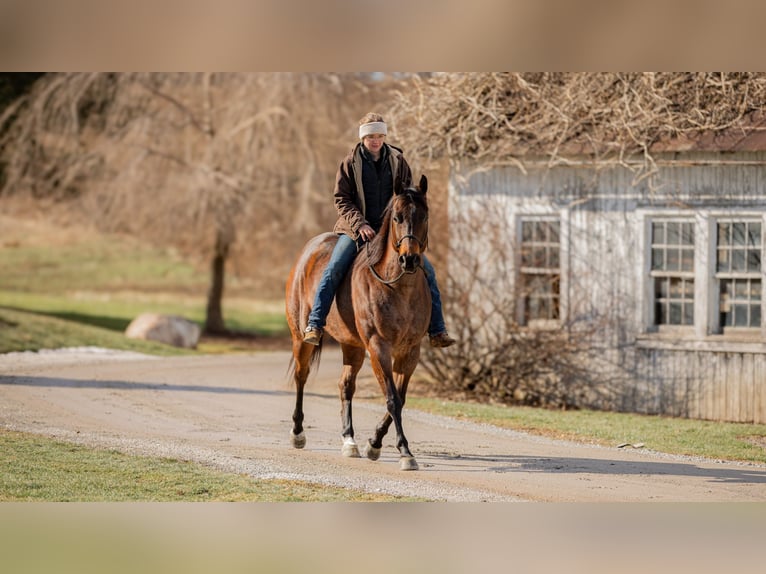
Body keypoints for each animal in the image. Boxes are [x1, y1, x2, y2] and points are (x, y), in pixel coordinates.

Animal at [286, 176, 436, 472]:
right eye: (397, 217)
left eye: (424, 216)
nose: (409, 259)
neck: (399, 288)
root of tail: (308, 250)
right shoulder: (378, 347)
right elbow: (391, 398)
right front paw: (404, 452)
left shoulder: (410, 351)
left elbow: (400, 398)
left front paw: (374, 443)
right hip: (301, 338)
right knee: (301, 375)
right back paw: (298, 433)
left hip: (352, 346)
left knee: (345, 385)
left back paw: (349, 441)